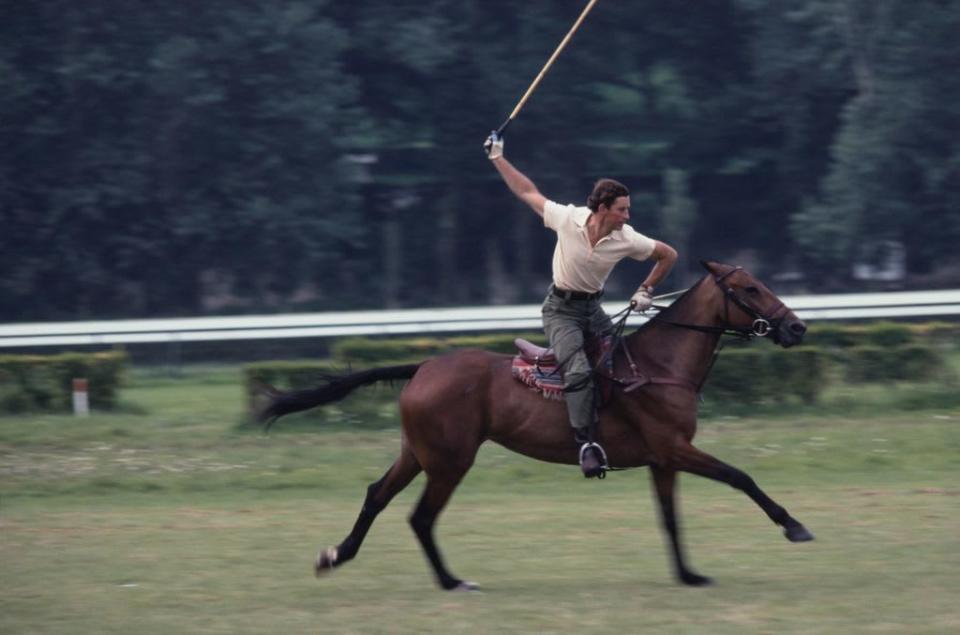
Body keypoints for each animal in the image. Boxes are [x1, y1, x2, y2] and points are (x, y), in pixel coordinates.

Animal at [258, 260, 812, 588]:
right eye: (749, 289)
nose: (797, 326)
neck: (657, 365)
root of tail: (424, 367)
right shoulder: (675, 449)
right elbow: (741, 476)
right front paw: (794, 525)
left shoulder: (662, 460)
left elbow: (670, 517)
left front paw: (689, 574)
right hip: (450, 461)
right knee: (420, 516)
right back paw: (451, 581)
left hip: (418, 453)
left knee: (377, 494)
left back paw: (338, 554)